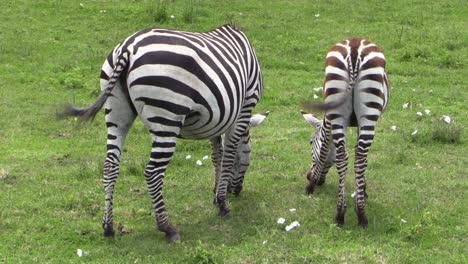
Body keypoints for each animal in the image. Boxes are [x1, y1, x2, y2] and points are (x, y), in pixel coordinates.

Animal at [59, 24, 266, 241]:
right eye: (249, 154)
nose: (237, 191)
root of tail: (128, 48)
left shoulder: (217, 120)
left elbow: (217, 155)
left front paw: (217, 195)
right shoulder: (243, 107)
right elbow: (228, 156)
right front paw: (223, 204)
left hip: (116, 111)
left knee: (110, 166)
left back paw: (108, 227)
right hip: (167, 115)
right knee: (152, 172)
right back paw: (167, 227)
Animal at [302, 37, 390, 227]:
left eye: (311, 142)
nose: (308, 176)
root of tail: (355, 47)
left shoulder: (332, 119)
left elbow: (327, 149)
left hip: (342, 107)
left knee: (347, 155)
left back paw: (344, 213)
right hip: (363, 111)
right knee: (359, 155)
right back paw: (358, 213)